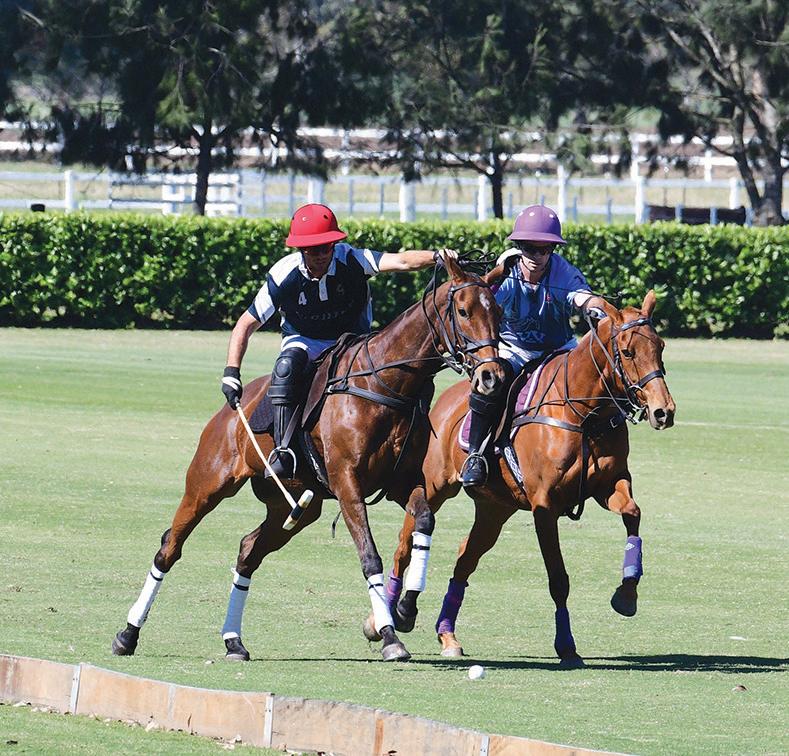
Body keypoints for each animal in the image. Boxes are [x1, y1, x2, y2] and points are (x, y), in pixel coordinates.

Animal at [111, 254, 507, 663]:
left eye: (499, 312)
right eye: (463, 311)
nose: (493, 376)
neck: (386, 386)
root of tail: (232, 412)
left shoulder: (403, 482)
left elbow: (424, 521)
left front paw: (406, 608)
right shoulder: (348, 484)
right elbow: (370, 556)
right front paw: (389, 636)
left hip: (296, 505)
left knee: (248, 551)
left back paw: (233, 640)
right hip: (207, 484)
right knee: (169, 547)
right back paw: (128, 634)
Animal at [369, 290, 676, 667]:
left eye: (660, 346)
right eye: (628, 351)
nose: (664, 412)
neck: (586, 413)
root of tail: (446, 399)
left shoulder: (611, 484)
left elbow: (633, 513)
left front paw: (626, 594)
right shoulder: (545, 506)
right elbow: (558, 579)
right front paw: (566, 646)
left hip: (494, 508)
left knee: (464, 559)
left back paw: (448, 635)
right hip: (434, 486)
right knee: (403, 544)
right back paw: (386, 616)